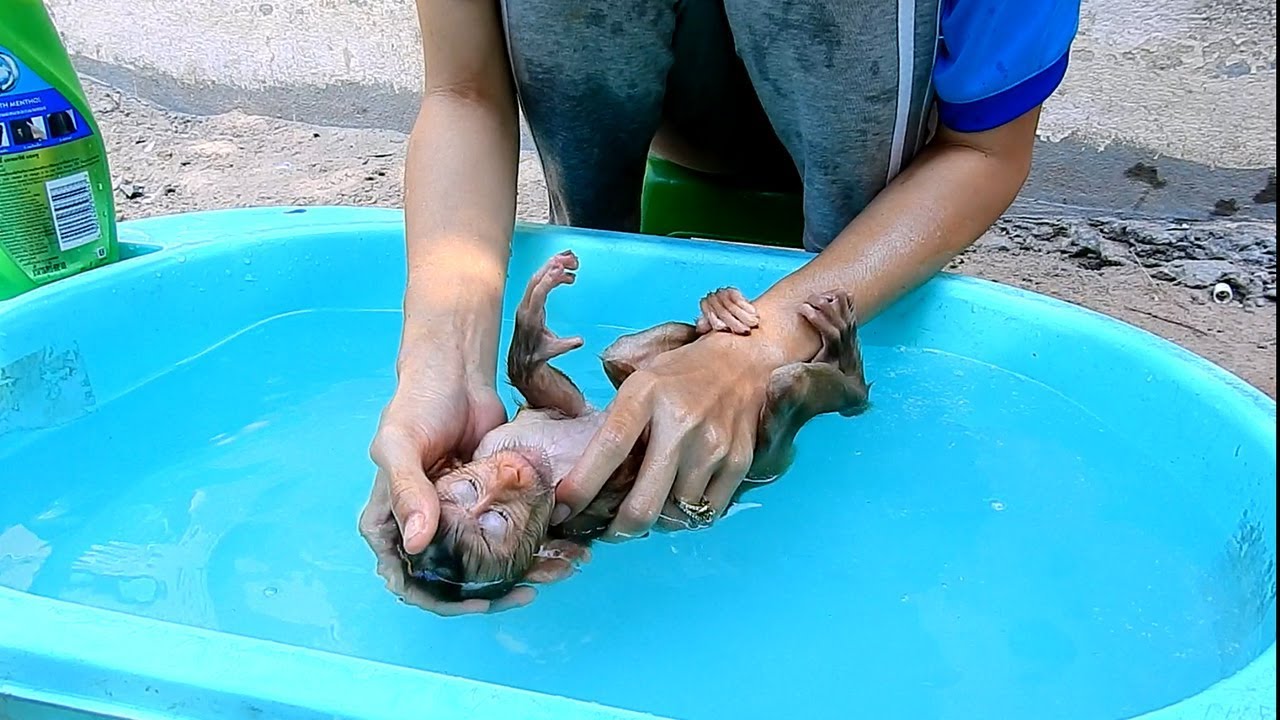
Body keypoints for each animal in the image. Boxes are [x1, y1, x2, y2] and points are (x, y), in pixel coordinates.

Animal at [400, 248, 871, 602]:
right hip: (767, 462)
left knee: (622, 355)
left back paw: (718, 314)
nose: (511, 474)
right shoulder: (566, 514)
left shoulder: (497, 440)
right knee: (784, 409)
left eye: (473, 490)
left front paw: (533, 331)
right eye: (494, 523)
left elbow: (556, 395)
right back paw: (840, 377)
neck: (544, 467)